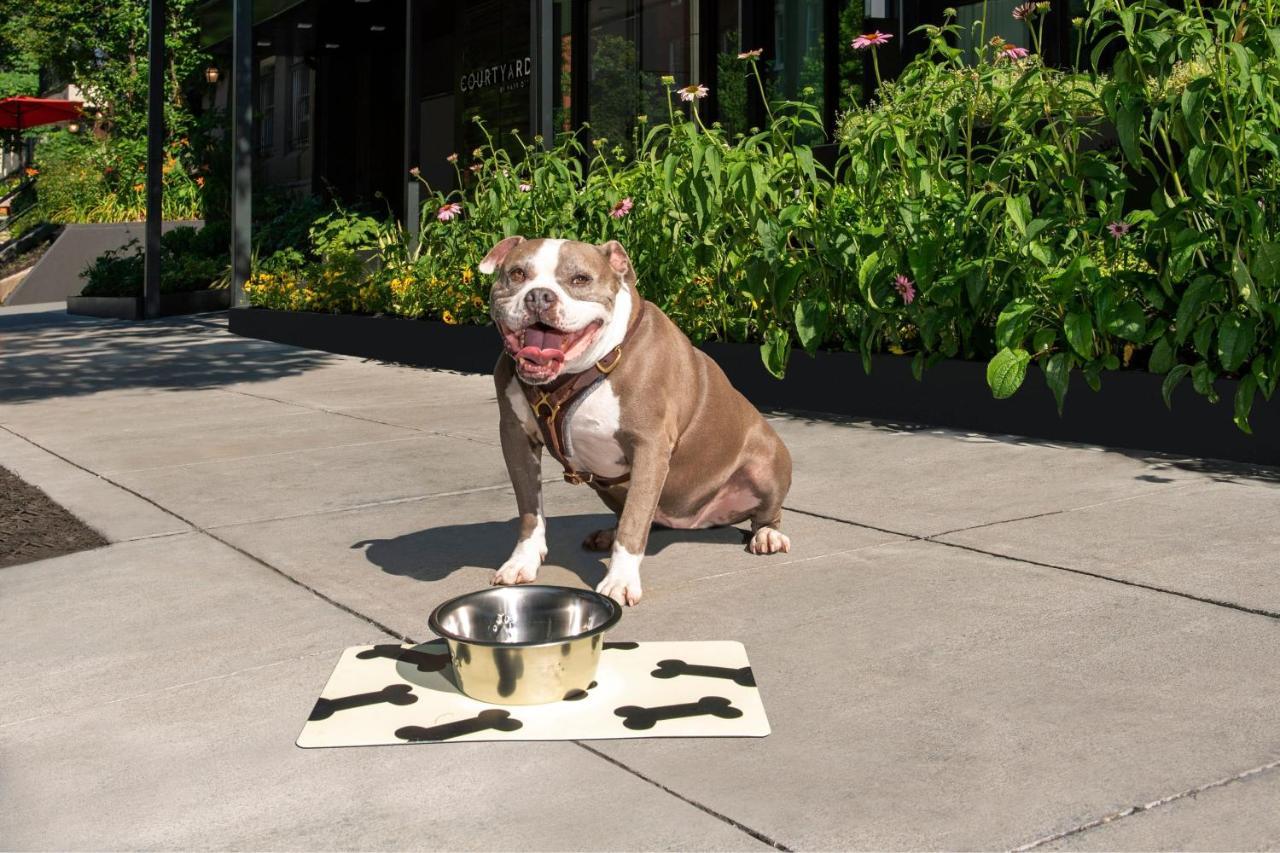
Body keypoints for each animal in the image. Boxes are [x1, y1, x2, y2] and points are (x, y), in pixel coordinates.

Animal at [481, 235, 788, 601]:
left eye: (580, 279)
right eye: (517, 274)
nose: (539, 296)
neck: (581, 370)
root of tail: (694, 522)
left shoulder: (649, 446)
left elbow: (634, 523)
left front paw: (620, 579)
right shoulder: (515, 436)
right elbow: (530, 510)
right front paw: (522, 562)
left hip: (767, 464)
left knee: (764, 514)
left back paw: (768, 535)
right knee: (642, 517)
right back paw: (606, 534)